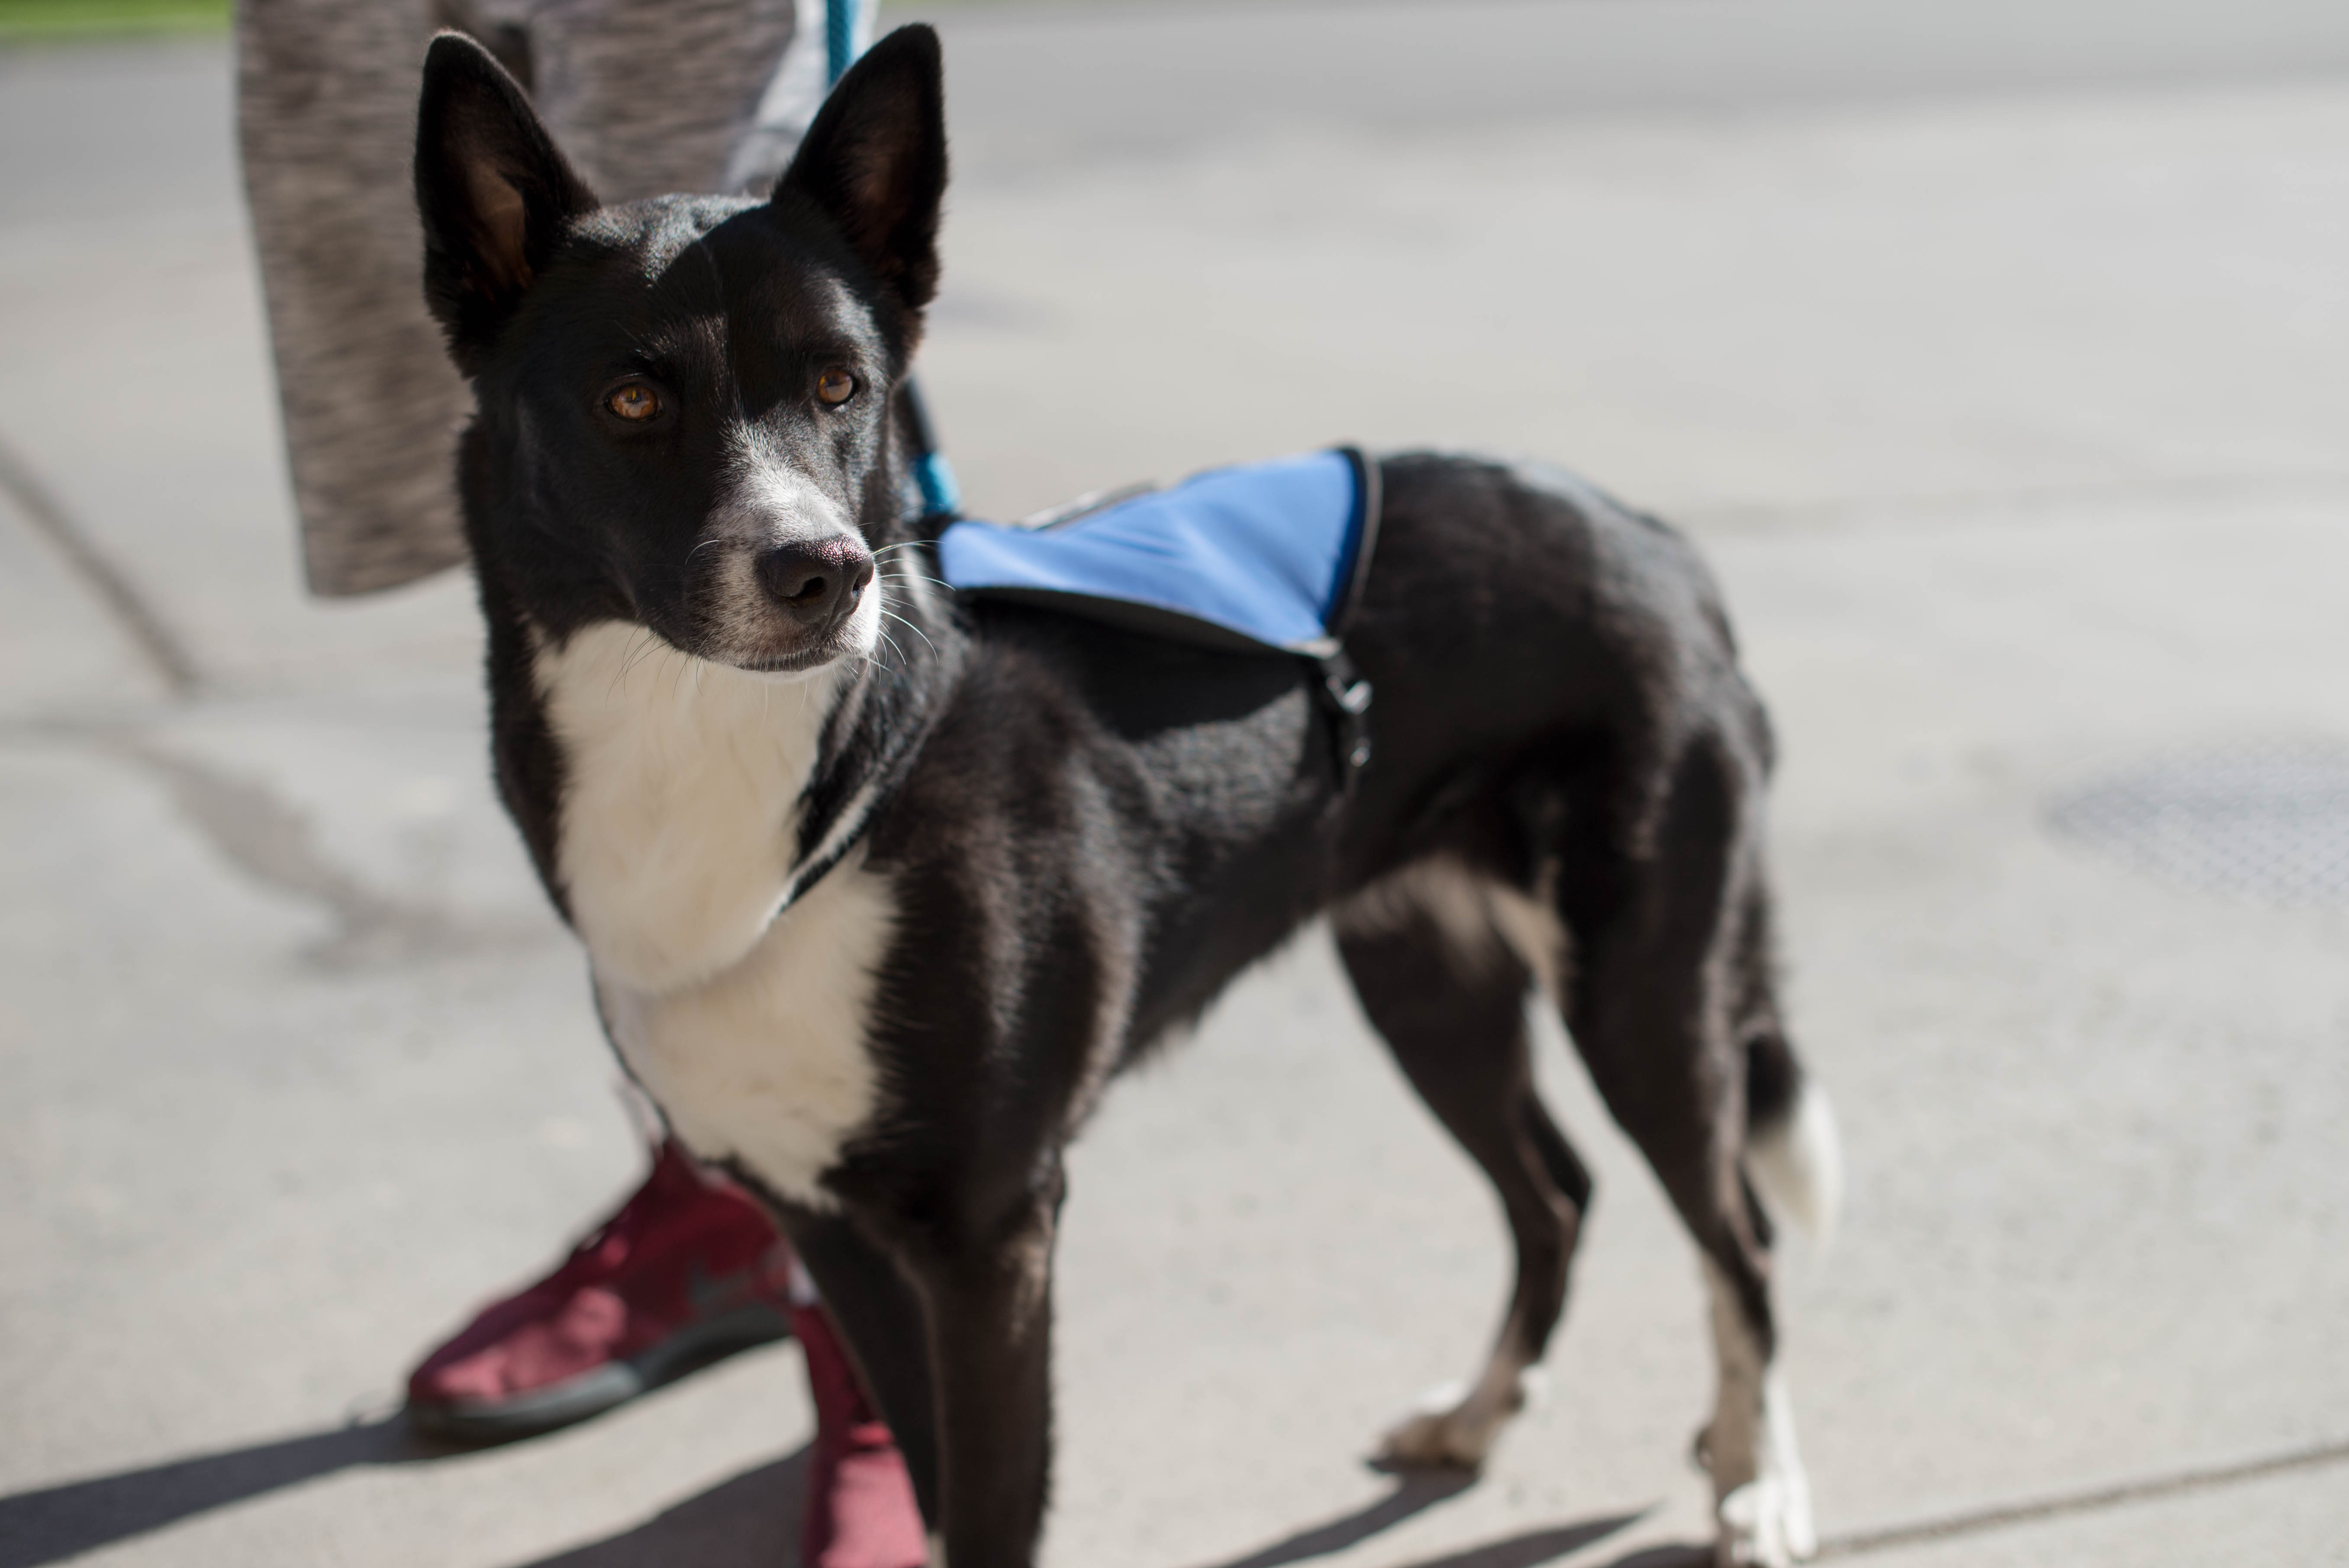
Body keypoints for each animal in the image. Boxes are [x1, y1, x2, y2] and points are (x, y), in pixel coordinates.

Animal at [412, 24, 1841, 1567]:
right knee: (1556, 1191)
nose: (824, 572)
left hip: (1643, 985)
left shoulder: (991, 1229)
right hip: (1427, 976)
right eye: (632, 399)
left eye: (845, 388)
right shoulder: (836, 1229)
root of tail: (1652, 537)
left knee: (1738, 1231)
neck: (744, 748)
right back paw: (1477, 1416)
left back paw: (1761, 1480)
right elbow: (933, 1482)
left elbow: (990, 1507)